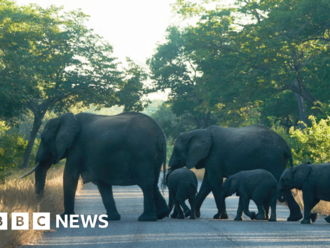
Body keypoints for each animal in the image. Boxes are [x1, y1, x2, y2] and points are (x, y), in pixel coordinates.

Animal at [20, 112, 170, 221]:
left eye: (43, 139)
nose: (39, 203)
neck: (63, 119)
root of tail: (161, 134)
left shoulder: (77, 147)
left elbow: (70, 176)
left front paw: (65, 218)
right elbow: (102, 183)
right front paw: (111, 219)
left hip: (141, 154)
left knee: (146, 184)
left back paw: (146, 219)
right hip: (153, 157)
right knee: (153, 183)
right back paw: (161, 215)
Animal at [169, 126, 302, 221]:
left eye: (176, 150)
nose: (172, 215)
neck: (196, 132)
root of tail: (287, 147)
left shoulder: (214, 156)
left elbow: (214, 182)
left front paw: (220, 217)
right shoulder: (211, 159)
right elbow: (207, 184)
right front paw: (195, 214)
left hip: (272, 159)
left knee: (281, 181)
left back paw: (293, 218)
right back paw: (293, 218)